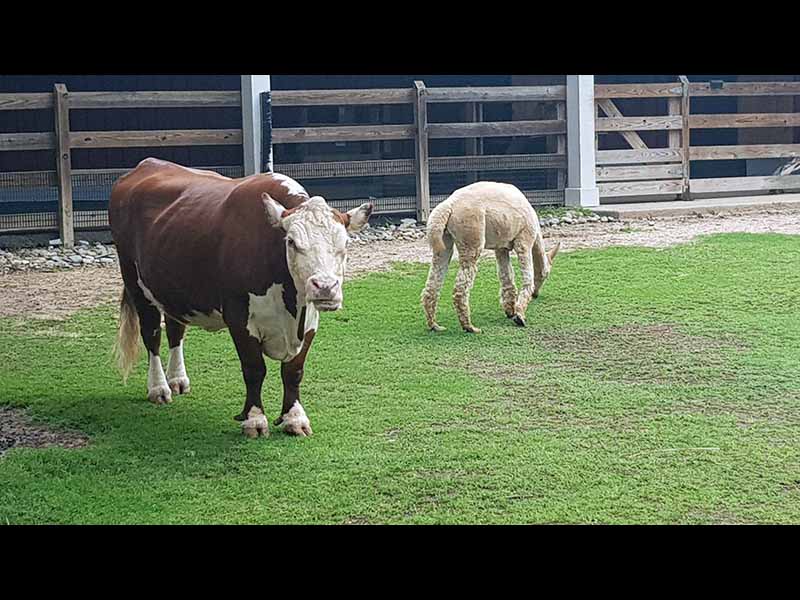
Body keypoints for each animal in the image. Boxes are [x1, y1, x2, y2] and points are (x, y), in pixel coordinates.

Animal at [108, 157, 372, 438]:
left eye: (345, 243)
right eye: (291, 241)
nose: (325, 287)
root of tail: (146, 165)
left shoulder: (310, 321)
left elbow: (293, 371)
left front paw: (295, 418)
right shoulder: (239, 317)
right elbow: (254, 369)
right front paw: (255, 420)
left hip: (172, 287)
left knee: (175, 330)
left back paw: (177, 379)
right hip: (135, 281)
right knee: (151, 335)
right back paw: (158, 388)